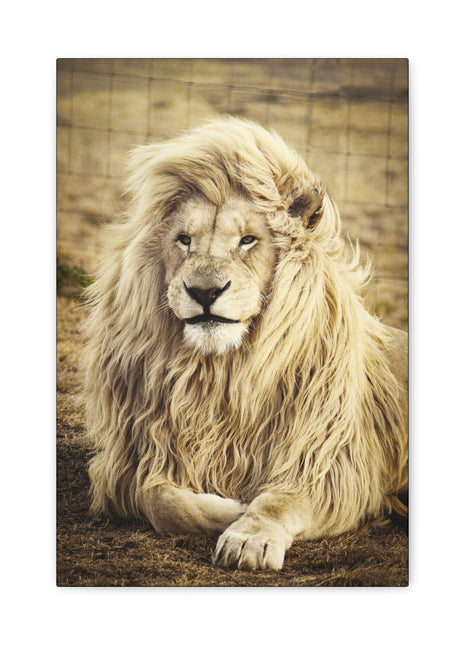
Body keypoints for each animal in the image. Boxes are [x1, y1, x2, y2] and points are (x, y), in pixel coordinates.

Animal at [83, 116, 408, 571]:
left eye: (248, 240)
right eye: (184, 239)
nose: (204, 291)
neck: (220, 373)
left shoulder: (330, 466)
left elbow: (278, 500)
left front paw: (247, 535)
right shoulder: (134, 462)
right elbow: (162, 501)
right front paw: (231, 508)